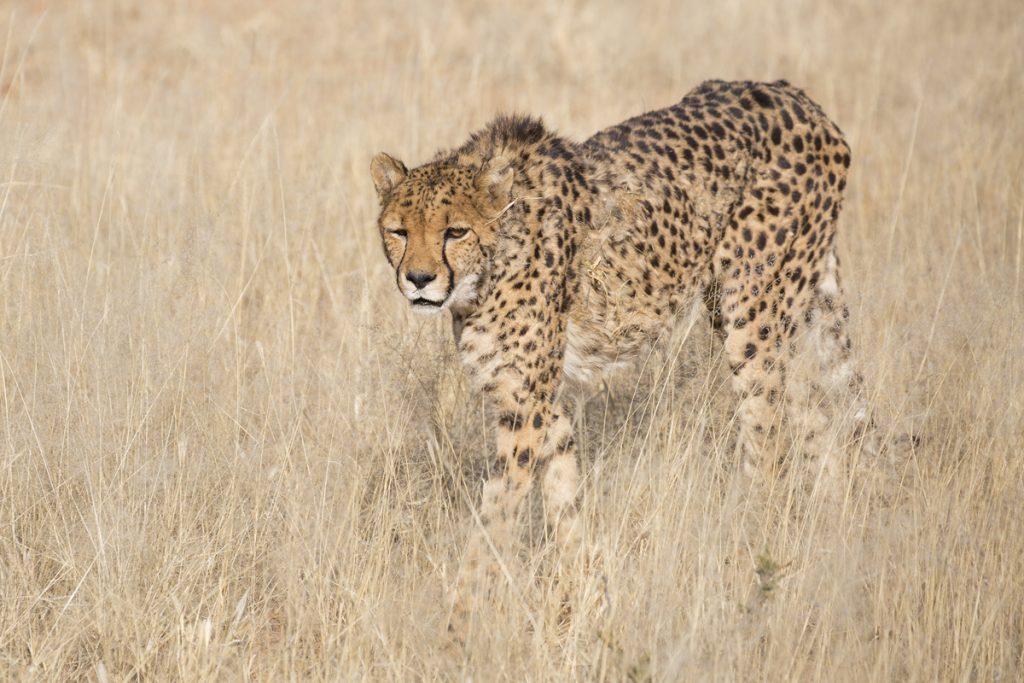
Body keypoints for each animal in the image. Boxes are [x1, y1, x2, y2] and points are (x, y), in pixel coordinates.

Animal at [368, 78, 872, 643]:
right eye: (399, 231)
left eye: (455, 231)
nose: (419, 279)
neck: (493, 260)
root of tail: (794, 96)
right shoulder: (541, 401)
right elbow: (565, 503)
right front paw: (586, 608)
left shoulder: (525, 407)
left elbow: (495, 517)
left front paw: (458, 629)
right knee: (819, 420)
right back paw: (830, 545)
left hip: (752, 317)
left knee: (768, 446)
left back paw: (750, 565)